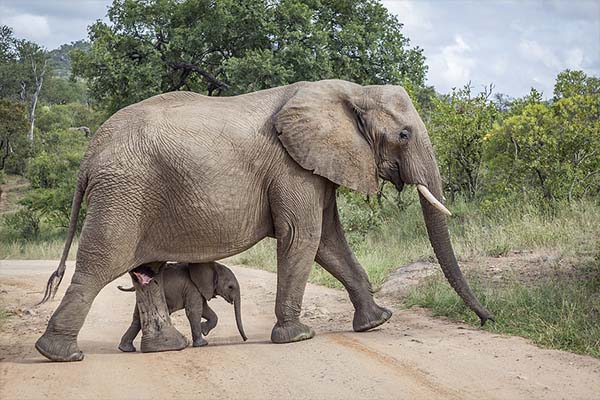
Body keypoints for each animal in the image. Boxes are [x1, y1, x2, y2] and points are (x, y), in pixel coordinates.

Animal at [118, 260, 247, 352]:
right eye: (230, 287)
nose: (245, 339)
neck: (212, 266)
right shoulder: (192, 287)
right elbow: (195, 311)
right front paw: (202, 343)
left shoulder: (199, 289)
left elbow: (206, 310)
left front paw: (204, 330)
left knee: (137, 319)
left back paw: (125, 349)